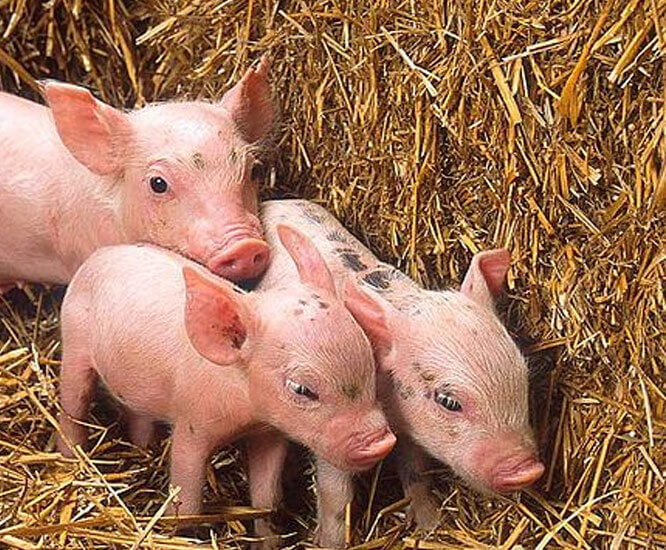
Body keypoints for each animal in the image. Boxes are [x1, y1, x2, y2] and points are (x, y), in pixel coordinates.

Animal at [56, 224, 396, 545]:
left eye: (368, 359)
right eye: (301, 388)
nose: (382, 442)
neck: (245, 413)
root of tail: (100, 255)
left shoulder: (270, 433)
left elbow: (266, 496)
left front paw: (269, 542)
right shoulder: (191, 423)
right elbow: (187, 494)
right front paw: (185, 535)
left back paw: (144, 446)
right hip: (74, 343)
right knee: (73, 406)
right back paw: (71, 457)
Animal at [257, 200, 545, 546]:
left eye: (523, 377)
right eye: (449, 401)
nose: (528, 470)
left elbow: (415, 471)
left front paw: (429, 524)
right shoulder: (334, 427)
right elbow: (335, 492)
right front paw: (328, 543)